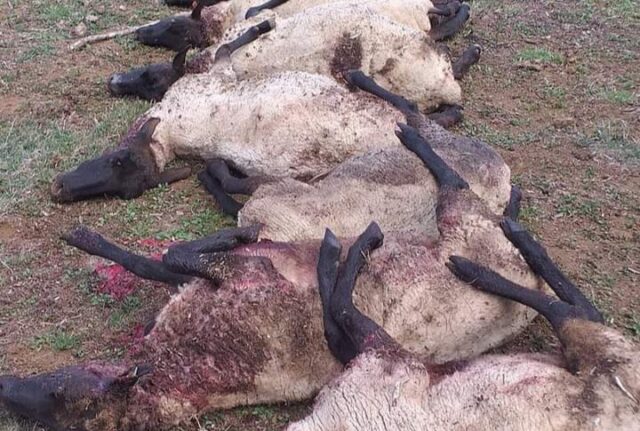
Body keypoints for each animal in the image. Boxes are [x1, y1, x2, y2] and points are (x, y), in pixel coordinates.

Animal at [5, 123, 545, 430]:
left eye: (57, 393)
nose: (6, 388)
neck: (186, 363)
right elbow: (167, 260)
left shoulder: (247, 271)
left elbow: (174, 255)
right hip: (467, 228)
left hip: (463, 222)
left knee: (454, 184)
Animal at [285, 206, 638, 431]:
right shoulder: (384, 364)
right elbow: (335, 324)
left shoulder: (390, 362)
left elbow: (340, 308)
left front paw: (354, 242)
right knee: (579, 312)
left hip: (603, 357)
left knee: (571, 311)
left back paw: (482, 259)